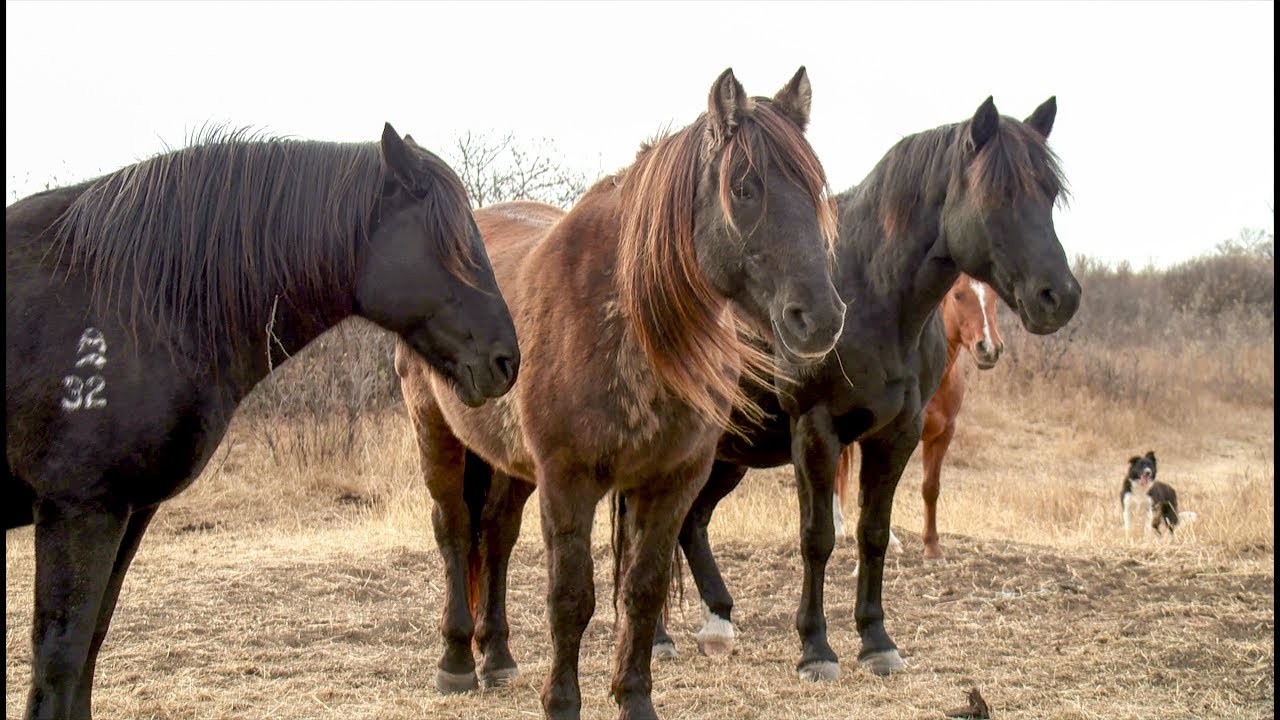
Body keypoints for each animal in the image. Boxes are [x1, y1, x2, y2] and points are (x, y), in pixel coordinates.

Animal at [5, 124, 520, 720]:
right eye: (453, 246)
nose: (507, 361)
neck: (130, 305)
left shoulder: (127, 513)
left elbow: (88, 654)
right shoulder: (79, 511)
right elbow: (59, 664)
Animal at [395, 67, 846, 720]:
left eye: (815, 189)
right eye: (744, 188)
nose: (821, 319)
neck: (623, 316)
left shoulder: (670, 481)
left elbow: (642, 590)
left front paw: (633, 699)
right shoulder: (569, 479)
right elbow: (570, 597)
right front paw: (561, 702)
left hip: (510, 463)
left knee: (497, 535)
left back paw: (497, 657)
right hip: (436, 433)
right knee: (454, 530)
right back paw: (456, 661)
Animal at [832, 273, 1005, 561]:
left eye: (994, 296)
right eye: (958, 295)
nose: (989, 348)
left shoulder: (943, 434)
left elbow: (930, 488)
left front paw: (933, 548)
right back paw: (837, 528)